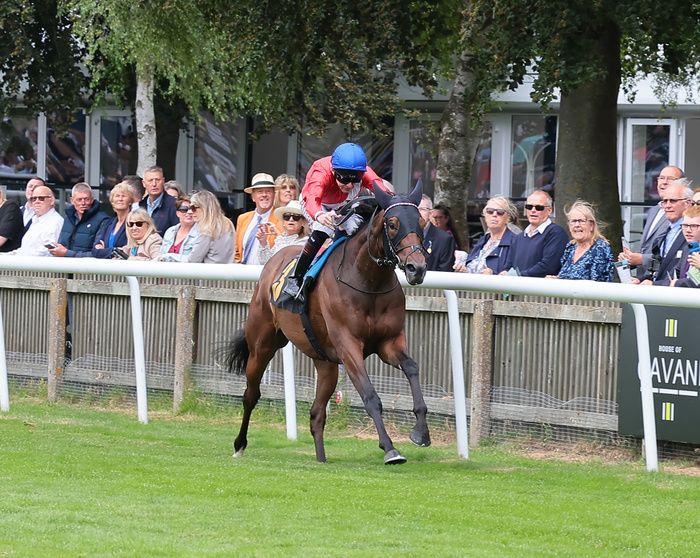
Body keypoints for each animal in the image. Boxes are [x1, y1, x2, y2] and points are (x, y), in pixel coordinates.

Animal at [227, 183, 430, 464]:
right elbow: (370, 395)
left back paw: (321, 458)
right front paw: (390, 448)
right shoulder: (348, 345)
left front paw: (421, 432)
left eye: (421, 221)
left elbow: (411, 367)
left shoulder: (389, 343)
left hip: (325, 362)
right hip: (262, 344)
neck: (368, 280)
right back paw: (239, 444)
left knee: (316, 413)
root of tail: (273, 259)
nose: (416, 268)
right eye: (392, 223)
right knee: (251, 395)